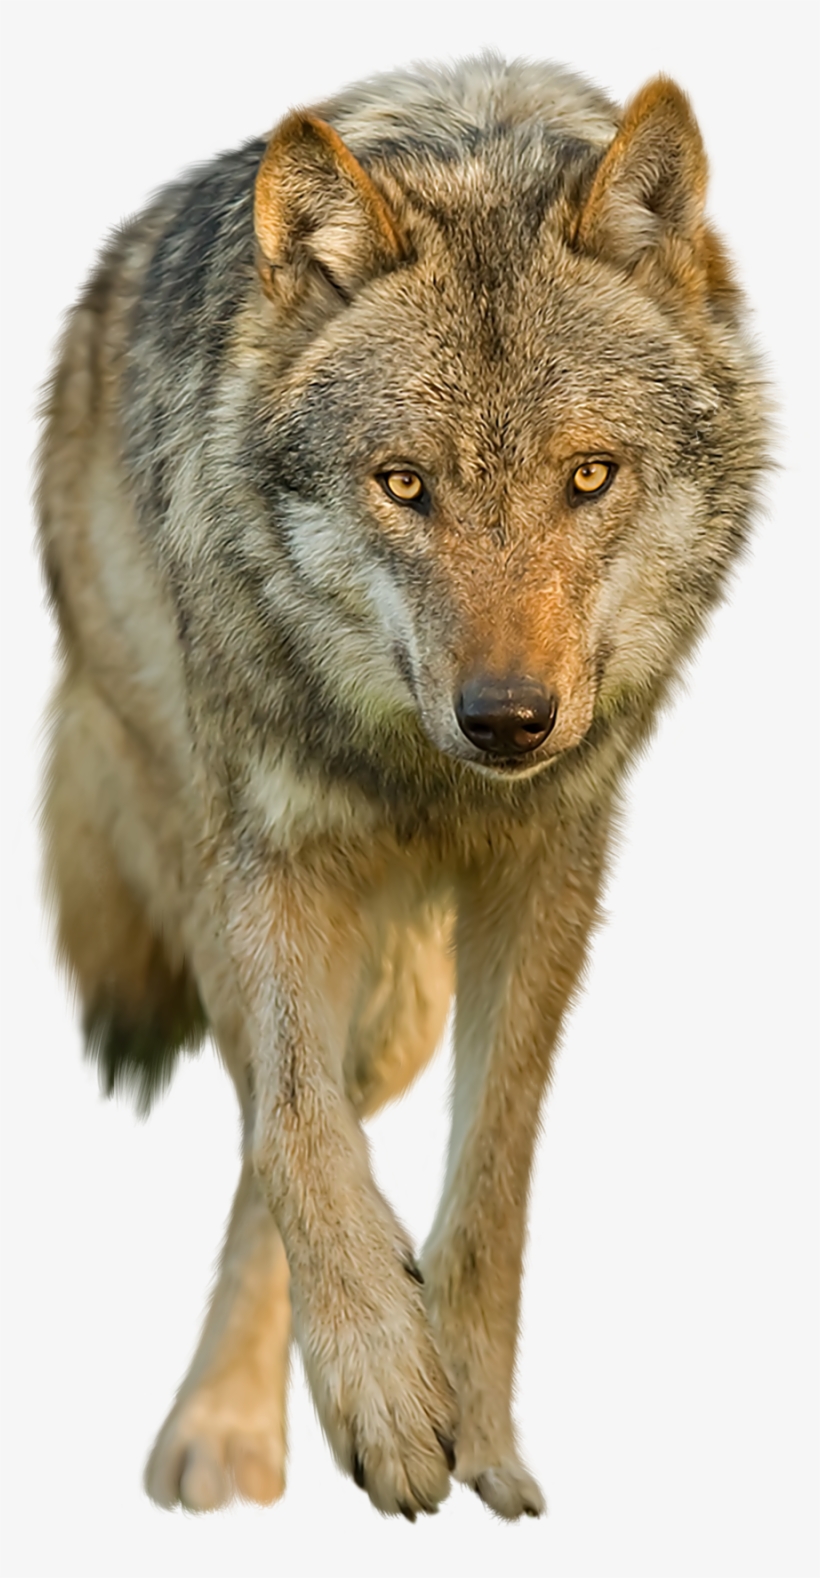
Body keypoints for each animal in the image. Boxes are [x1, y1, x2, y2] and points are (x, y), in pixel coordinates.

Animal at [37, 53, 765, 1520]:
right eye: (403, 484)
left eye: (588, 475)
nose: (509, 720)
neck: (425, 777)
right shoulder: (265, 855)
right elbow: (299, 1129)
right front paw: (381, 1383)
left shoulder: (552, 869)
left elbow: (496, 1165)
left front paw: (472, 1421)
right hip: (225, 883)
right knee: (273, 1114)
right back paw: (230, 1426)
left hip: (401, 998)